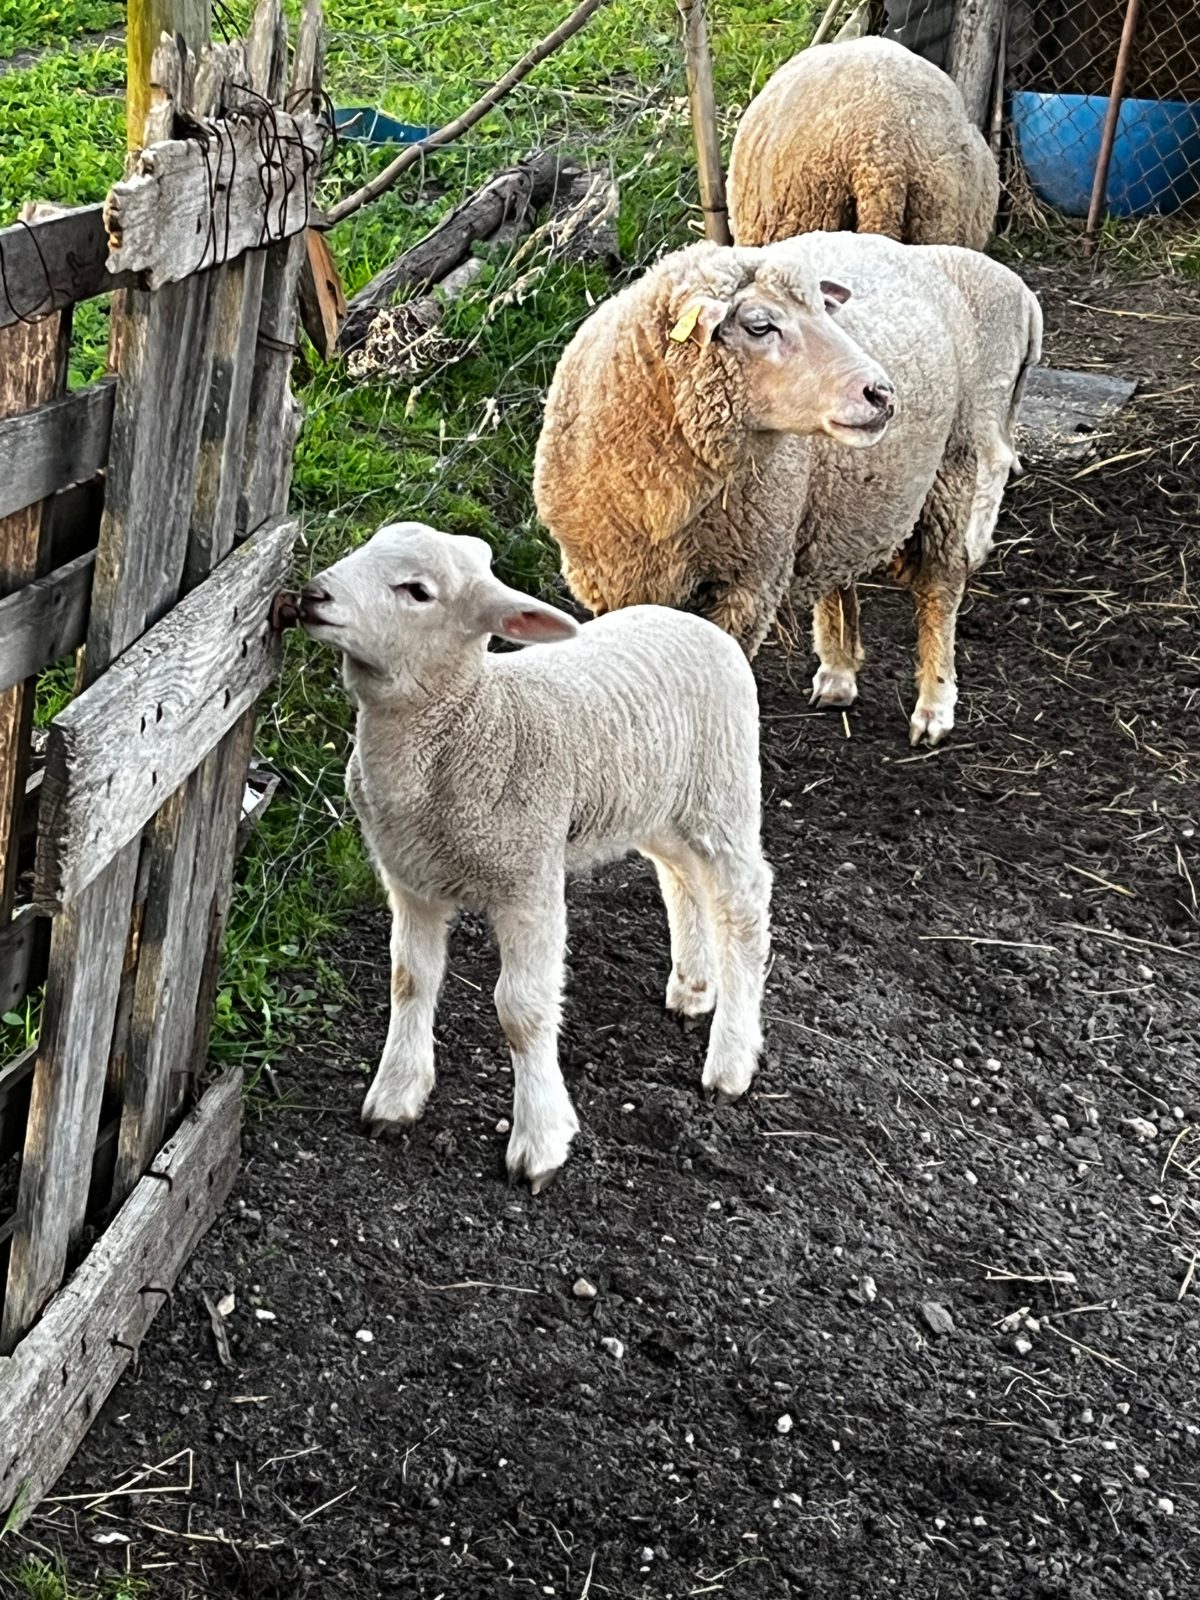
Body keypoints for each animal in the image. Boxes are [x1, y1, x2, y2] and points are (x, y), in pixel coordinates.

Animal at [294, 522, 772, 1192]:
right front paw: (395, 1097)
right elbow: (410, 980)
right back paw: (694, 986)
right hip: (656, 802)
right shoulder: (410, 878)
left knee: (743, 908)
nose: (313, 595)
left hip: (722, 791)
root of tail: (694, 621)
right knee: (682, 878)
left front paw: (540, 1140)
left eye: (417, 591)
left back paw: (730, 1061)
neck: (472, 721)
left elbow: (521, 1010)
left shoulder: (527, 881)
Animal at [533, 231, 1041, 745]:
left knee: (940, 582)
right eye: (760, 326)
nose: (881, 393)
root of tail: (901, 247)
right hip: (841, 497)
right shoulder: (614, 581)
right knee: (840, 571)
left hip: (951, 464)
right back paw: (838, 673)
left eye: (823, 310)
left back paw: (934, 705)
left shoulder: (748, 584)